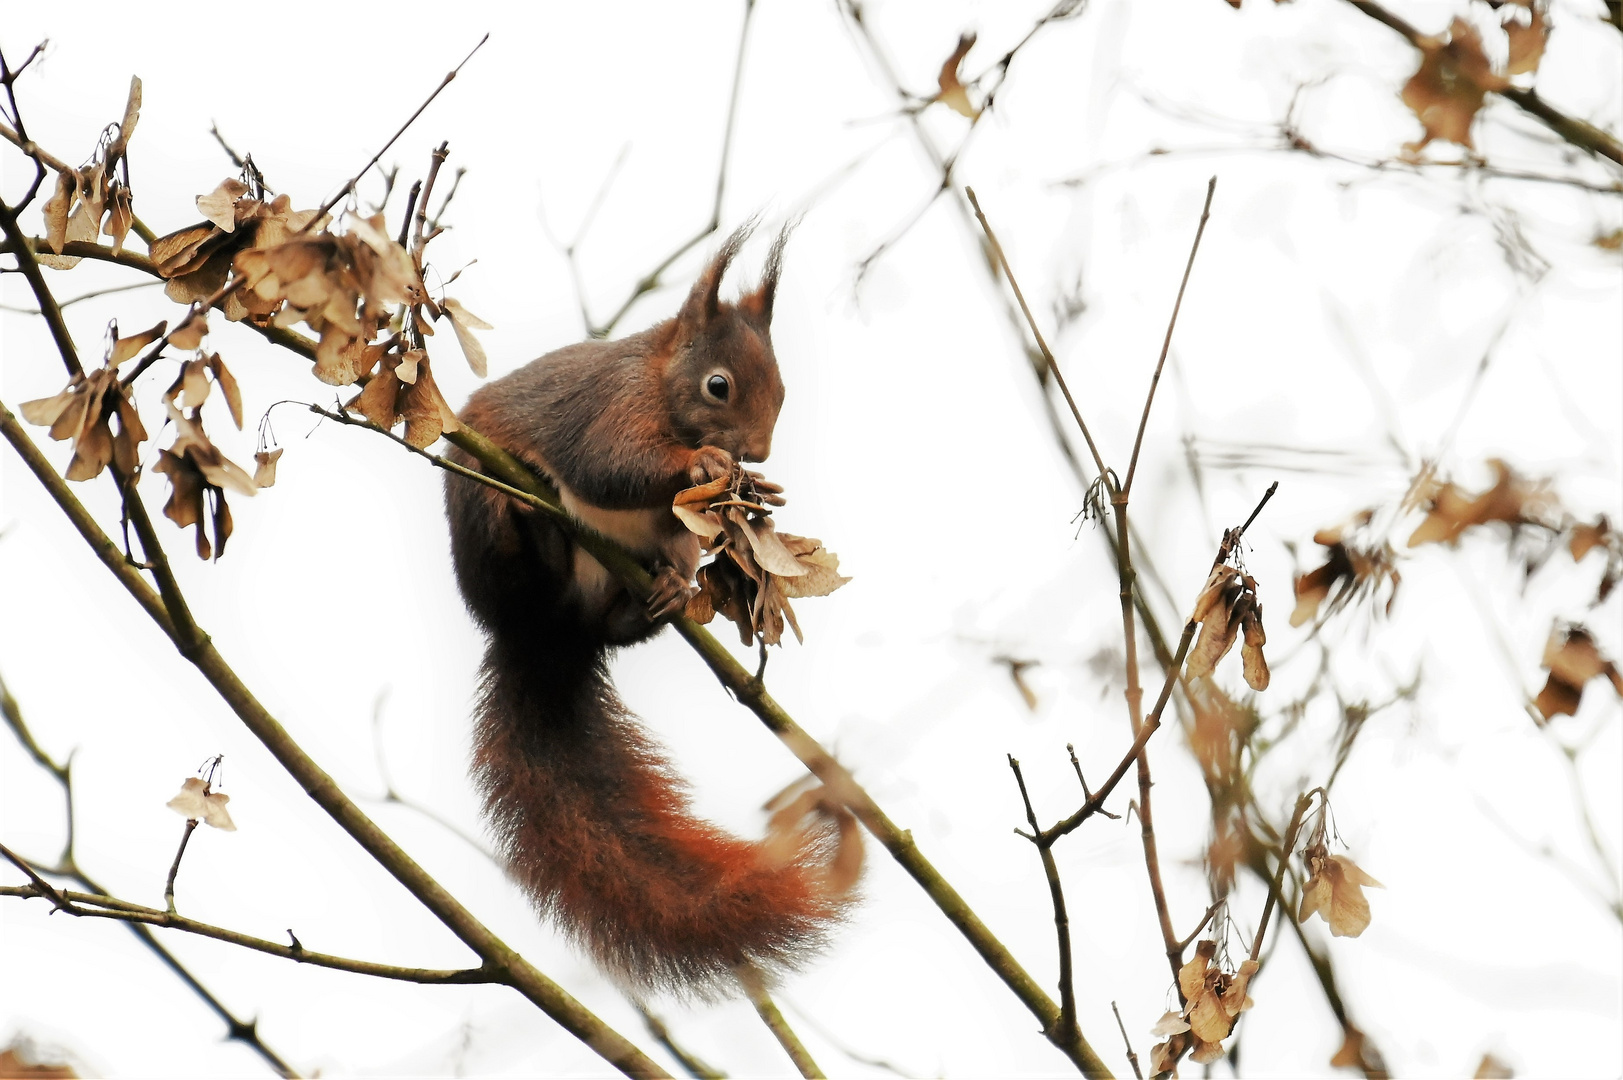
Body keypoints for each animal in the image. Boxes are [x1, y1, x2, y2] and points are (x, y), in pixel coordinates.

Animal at [444, 228, 850, 993]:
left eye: (783, 390)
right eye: (718, 385)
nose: (757, 451)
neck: (660, 381)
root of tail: (548, 639)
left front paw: (751, 485)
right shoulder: (612, 405)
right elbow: (610, 465)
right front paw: (706, 466)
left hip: (658, 560)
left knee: (629, 604)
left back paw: (657, 599)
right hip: (480, 523)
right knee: (519, 560)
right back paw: (533, 525)